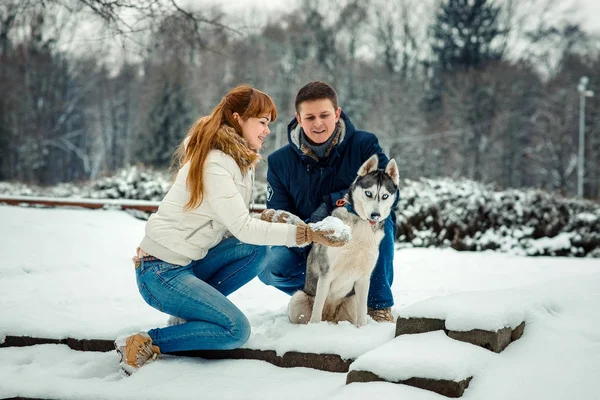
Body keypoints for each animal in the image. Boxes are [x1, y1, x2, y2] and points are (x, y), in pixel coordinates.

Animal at [290, 155, 400, 326]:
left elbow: (362, 314)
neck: (361, 224)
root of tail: (329, 318)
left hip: (351, 300)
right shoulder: (326, 273)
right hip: (297, 298)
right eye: (368, 193)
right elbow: (317, 310)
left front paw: (362, 328)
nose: (375, 215)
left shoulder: (363, 279)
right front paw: (314, 329)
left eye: (385, 196)